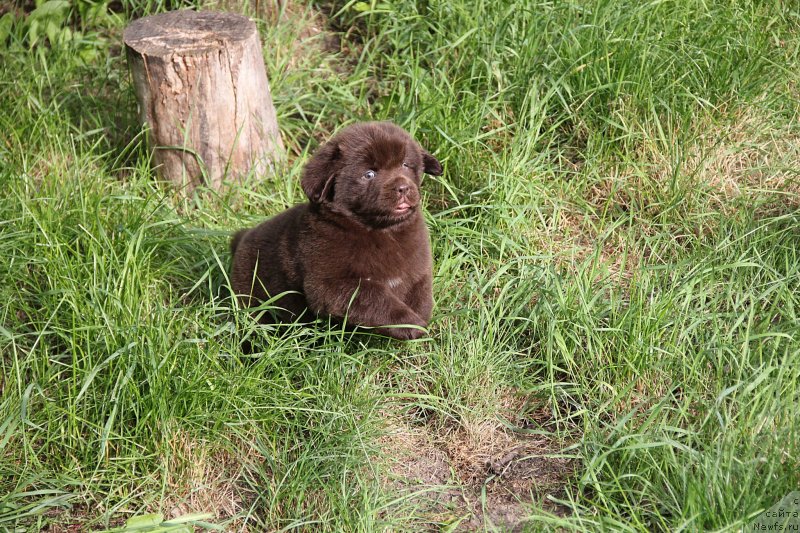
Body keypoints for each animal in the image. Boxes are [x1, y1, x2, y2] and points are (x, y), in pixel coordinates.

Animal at [230, 121, 444, 338]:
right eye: (369, 174)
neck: (382, 230)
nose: (403, 188)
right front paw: (411, 324)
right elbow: (376, 298)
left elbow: (421, 294)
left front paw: (420, 320)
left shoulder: (418, 268)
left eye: (405, 165)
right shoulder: (331, 284)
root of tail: (241, 238)